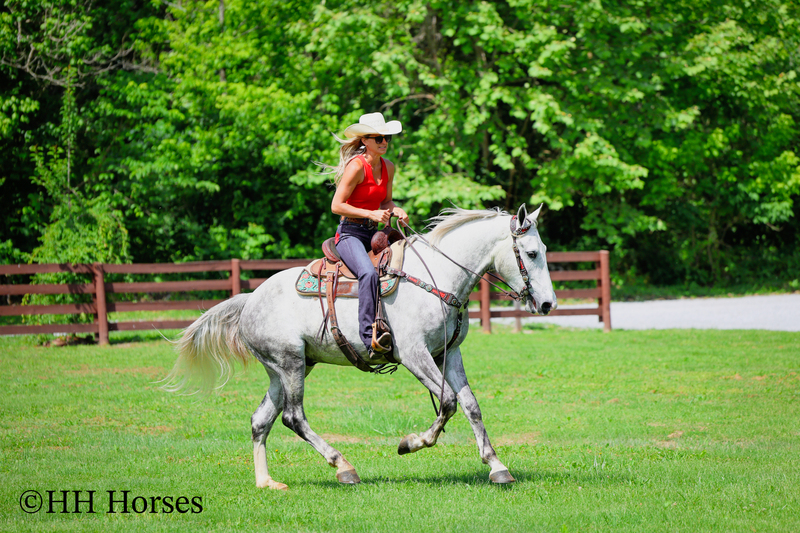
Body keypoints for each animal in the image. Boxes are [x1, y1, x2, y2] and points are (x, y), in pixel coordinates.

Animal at [165, 205, 557, 489]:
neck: (437, 279)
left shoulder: (448, 353)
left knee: (261, 421)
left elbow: (471, 405)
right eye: (531, 253)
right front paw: (411, 443)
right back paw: (343, 466)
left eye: (543, 250)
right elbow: (447, 402)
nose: (548, 304)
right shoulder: (414, 354)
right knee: (294, 417)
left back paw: (267, 482)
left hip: (285, 368)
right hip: (290, 363)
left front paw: (496, 466)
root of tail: (250, 299)